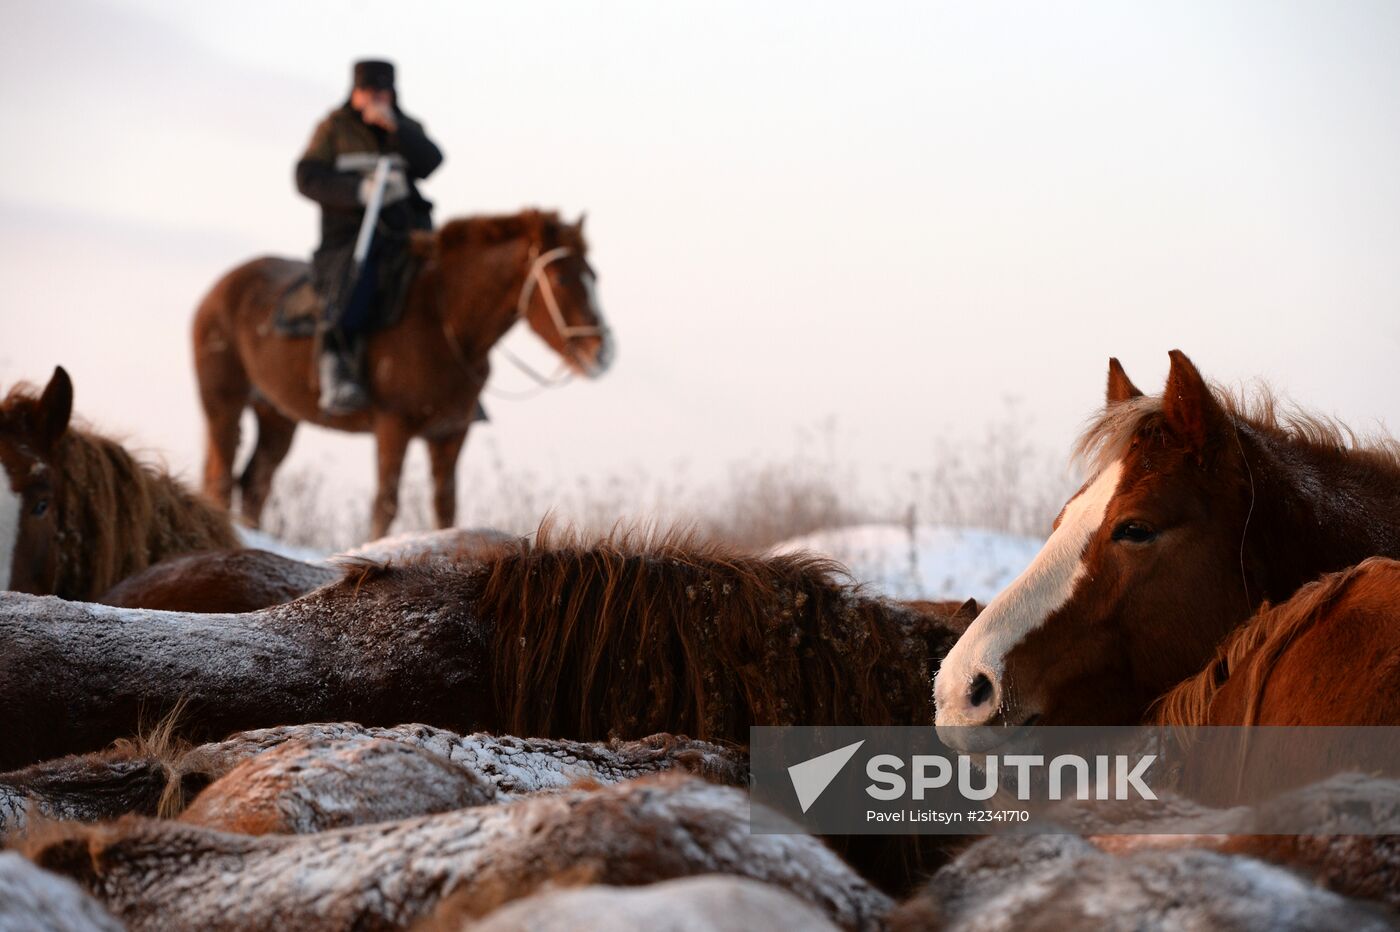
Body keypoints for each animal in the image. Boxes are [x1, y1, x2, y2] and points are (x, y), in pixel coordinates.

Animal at [191, 205, 613, 534]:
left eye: (594, 275)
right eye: (561, 277)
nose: (603, 352)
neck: (443, 321)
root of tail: (217, 290)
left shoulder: (450, 433)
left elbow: (446, 508)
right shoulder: (393, 426)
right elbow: (386, 504)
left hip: (277, 416)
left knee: (255, 482)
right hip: (223, 405)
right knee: (220, 479)